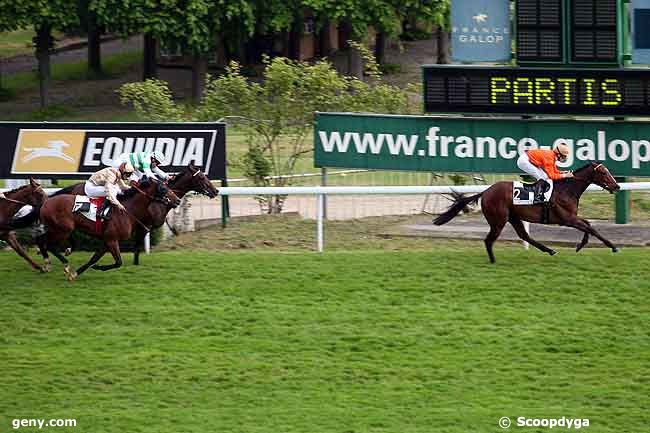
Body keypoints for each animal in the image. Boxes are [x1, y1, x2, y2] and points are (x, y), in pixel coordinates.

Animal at [37, 176, 181, 280]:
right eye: (163, 188)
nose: (178, 200)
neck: (127, 211)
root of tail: (46, 202)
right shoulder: (112, 240)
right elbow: (118, 262)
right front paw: (98, 267)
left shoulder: (106, 240)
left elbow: (94, 258)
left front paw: (77, 273)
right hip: (62, 230)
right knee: (48, 244)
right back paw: (60, 263)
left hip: (57, 229)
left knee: (41, 240)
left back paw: (48, 262)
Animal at [48, 165, 219, 264]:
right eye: (202, 177)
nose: (216, 190)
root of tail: (74, 186)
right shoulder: (145, 225)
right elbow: (137, 245)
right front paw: (135, 262)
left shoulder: (141, 226)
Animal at [432, 162, 620, 262]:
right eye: (603, 172)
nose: (617, 186)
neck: (567, 189)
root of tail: (485, 192)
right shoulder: (567, 219)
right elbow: (591, 228)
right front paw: (613, 246)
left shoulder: (572, 218)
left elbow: (588, 225)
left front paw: (581, 245)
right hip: (499, 220)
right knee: (489, 240)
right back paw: (493, 261)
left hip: (513, 217)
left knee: (524, 235)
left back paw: (549, 250)